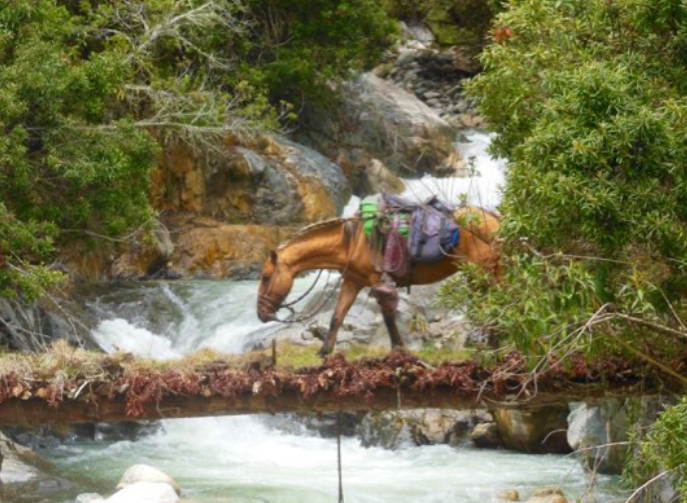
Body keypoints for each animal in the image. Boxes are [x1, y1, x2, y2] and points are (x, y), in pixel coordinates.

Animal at [258, 207, 500, 356]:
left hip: (484, 272)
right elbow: (337, 316)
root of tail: (494, 220)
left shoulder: (378, 283)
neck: (352, 243)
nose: (261, 314)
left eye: (266, 276)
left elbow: (388, 317)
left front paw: (398, 350)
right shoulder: (352, 281)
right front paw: (324, 352)